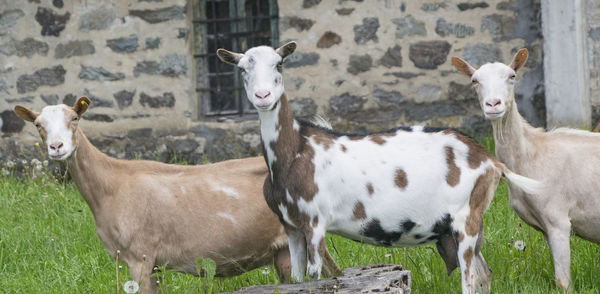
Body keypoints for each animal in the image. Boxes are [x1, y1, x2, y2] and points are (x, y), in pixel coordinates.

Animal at [15, 99, 300, 294]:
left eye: (75, 118)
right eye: (38, 125)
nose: (57, 147)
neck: (111, 186)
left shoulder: (140, 256)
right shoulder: (153, 264)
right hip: (284, 250)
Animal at [217, 42, 544, 292]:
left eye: (279, 65)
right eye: (242, 69)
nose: (262, 97)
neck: (296, 150)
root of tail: (488, 159)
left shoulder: (315, 223)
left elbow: (314, 278)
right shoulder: (291, 227)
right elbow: (297, 281)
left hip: (467, 217)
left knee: (471, 278)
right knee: (484, 275)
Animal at [452, 48, 600, 290]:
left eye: (512, 76)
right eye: (474, 80)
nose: (493, 104)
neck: (531, 152)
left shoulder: (558, 221)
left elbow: (563, 282)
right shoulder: (545, 227)